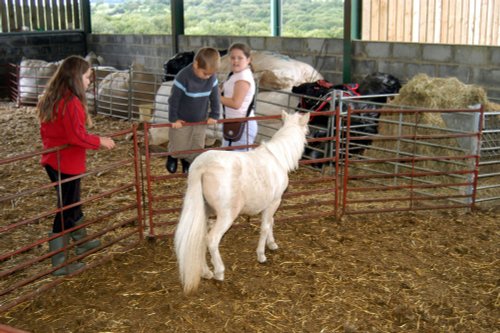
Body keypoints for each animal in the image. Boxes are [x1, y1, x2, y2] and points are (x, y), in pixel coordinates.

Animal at [174, 110, 310, 292]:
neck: (277, 157)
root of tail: (203, 166)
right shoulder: (274, 201)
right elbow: (265, 227)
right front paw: (261, 255)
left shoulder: (270, 204)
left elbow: (271, 223)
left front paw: (272, 244)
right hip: (226, 215)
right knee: (212, 239)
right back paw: (219, 272)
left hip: (204, 210)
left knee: (200, 238)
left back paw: (205, 272)